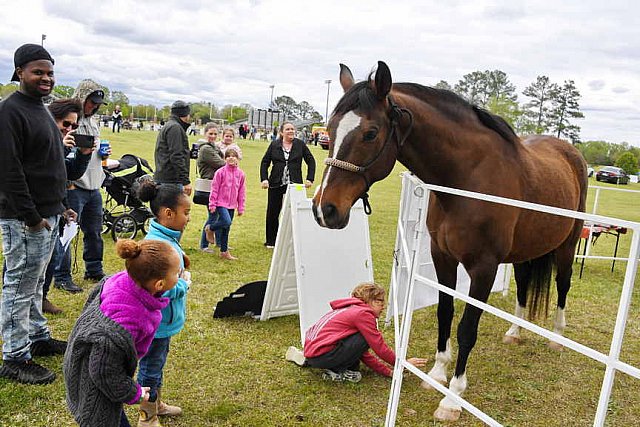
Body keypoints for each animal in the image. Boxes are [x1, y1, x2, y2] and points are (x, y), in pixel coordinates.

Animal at [312, 61, 588, 422]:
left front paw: (452, 398)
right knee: (525, 282)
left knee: (563, 284)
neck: (467, 180)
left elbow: (467, 328)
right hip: (526, 252)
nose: (324, 209)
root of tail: (571, 154)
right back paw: (515, 332)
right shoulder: (442, 257)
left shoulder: (484, 269)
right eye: (329, 129)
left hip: (567, 246)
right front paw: (437, 374)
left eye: (370, 133)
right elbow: (445, 313)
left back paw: (556, 336)